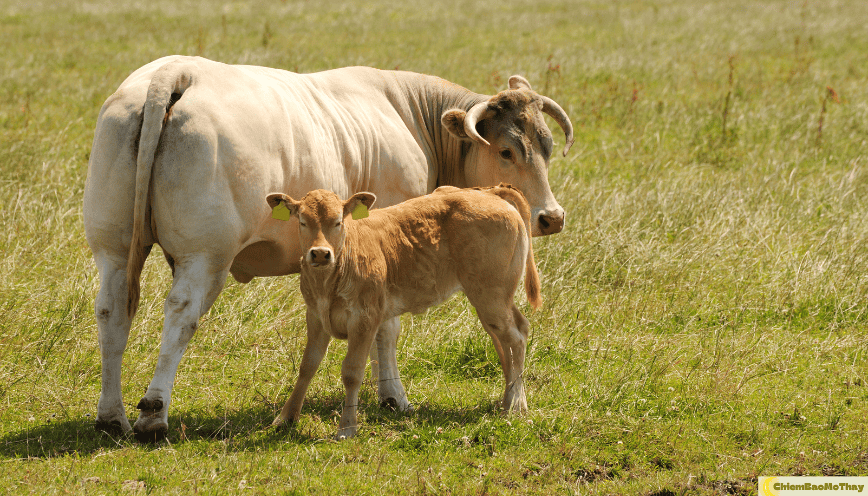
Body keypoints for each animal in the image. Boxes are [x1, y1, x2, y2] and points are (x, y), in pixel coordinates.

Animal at [268, 184, 544, 436]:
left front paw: (347, 427)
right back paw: (509, 400)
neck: (330, 278)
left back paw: (515, 406)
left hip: (491, 297)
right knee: (509, 335)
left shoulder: (364, 318)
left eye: (338, 222)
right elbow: (308, 365)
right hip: (491, 300)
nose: (320, 254)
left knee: (516, 337)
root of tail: (488, 191)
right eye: (303, 221)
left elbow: (352, 372)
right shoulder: (315, 315)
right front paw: (285, 417)